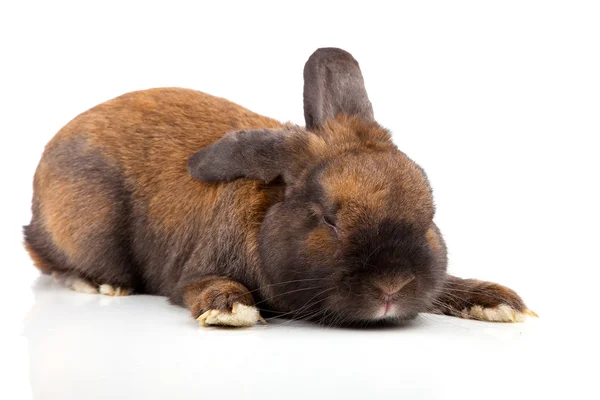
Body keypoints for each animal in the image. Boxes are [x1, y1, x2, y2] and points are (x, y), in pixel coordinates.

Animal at [24, 48, 540, 326]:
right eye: (329, 219)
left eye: (430, 215)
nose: (392, 286)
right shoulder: (191, 273)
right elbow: (205, 287)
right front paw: (231, 310)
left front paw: (497, 302)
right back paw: (101, 284)